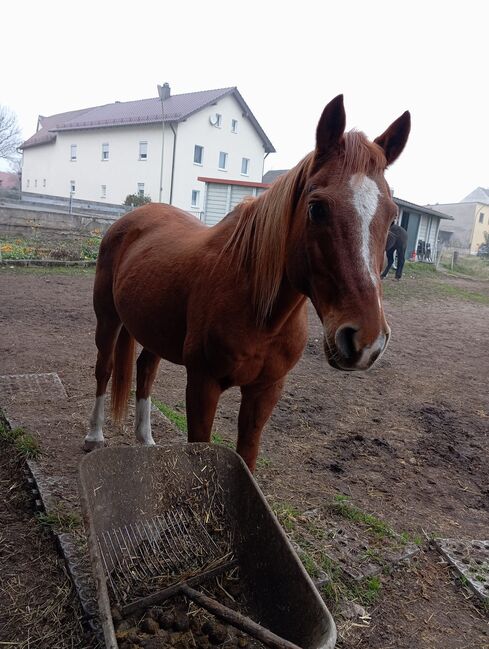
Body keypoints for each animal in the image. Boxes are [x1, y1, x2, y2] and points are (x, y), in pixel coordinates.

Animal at [84, 95, 408, 470]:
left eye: (392, 216)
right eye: (317, 208)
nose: (366, 341)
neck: (260, 310)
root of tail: (133, 218)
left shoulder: (265, 391)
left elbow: (248, 458)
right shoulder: (203, 385)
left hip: (153, 329)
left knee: (145, 372)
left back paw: (146, 439)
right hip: (108, 319)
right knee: (104, 369)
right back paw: (94, 435)